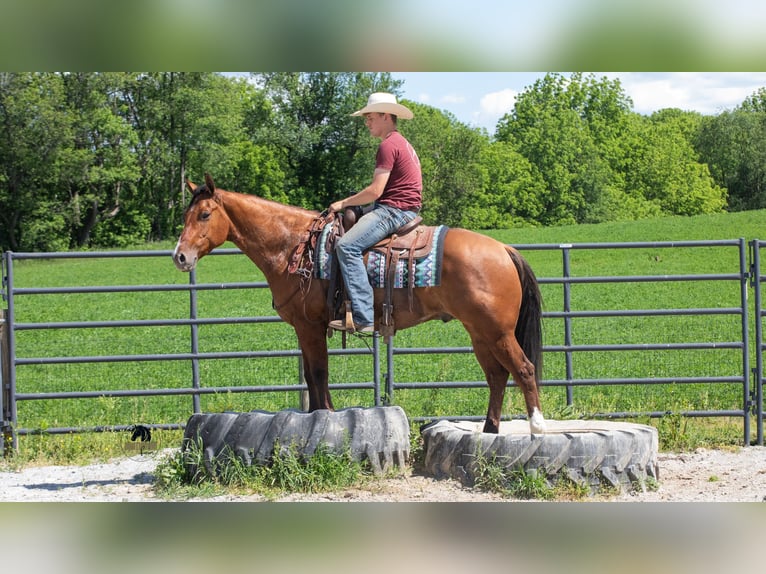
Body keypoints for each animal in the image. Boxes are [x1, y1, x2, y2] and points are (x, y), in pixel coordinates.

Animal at [173, 173, 546, 434]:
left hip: (497, 332)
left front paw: (324, 417)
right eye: (186, 214)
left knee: (524, 370)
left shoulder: (310, 326)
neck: (294, 246)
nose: (180, 257)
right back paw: (490, 429)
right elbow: (311, 375)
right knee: (497, 375)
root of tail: (503, 250)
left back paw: (537, 427)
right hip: (480, 333)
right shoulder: (305, 328)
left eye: (204, 214)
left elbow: (318, 373)